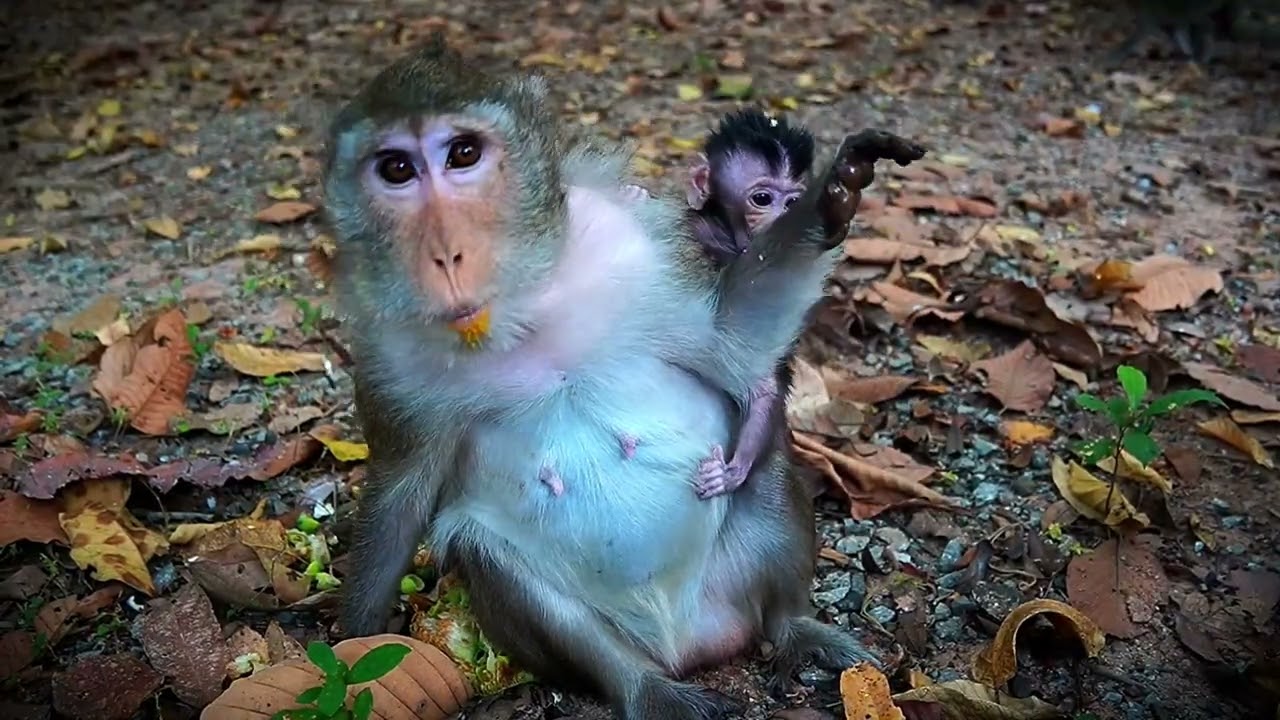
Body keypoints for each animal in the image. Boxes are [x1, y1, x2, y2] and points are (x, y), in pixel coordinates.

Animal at [325, 37, 925, 720]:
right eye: (397, 169)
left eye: (463, 155)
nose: (448, 255)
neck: (520, 311)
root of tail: (690, 639)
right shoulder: (389, 351)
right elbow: (400, 501)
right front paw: (347, 651)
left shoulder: (635, 247)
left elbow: (731, 343)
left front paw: (834, 192)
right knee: (489, 553)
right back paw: (643, 686)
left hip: (733, 579)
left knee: (764, 471)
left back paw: (792, 625)